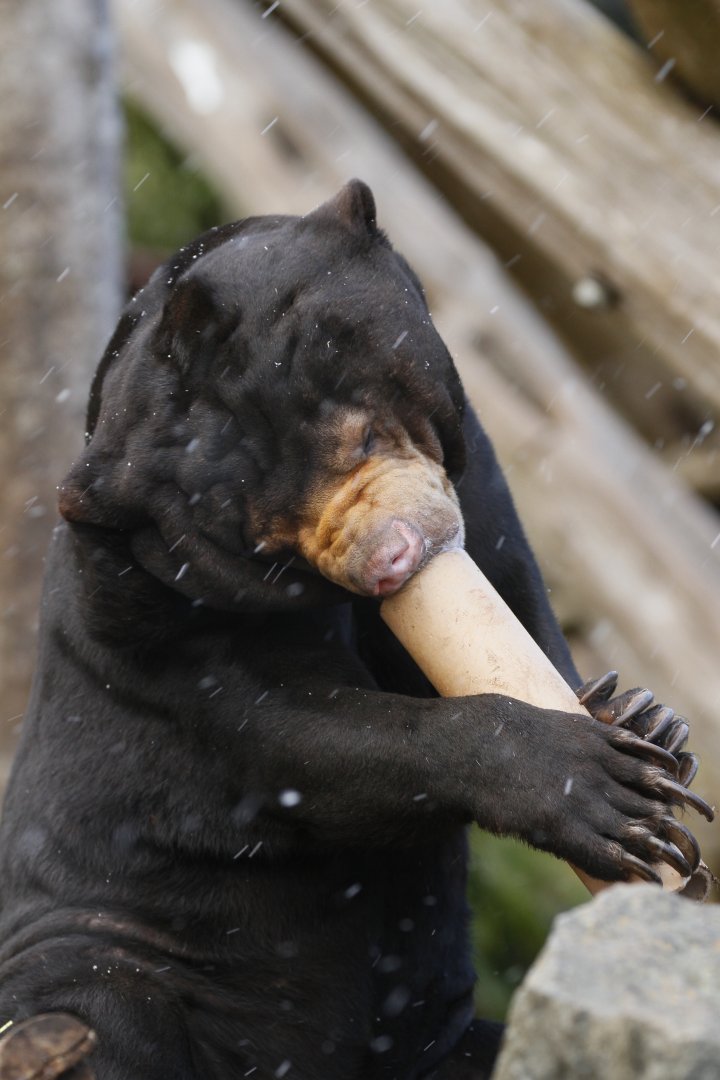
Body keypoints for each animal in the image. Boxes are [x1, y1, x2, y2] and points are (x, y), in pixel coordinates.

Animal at [0, 180, 709, 1080]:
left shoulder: (476, 470)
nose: (391, 563)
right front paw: (597, 787)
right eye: (268, 544)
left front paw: (647, 724)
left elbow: (507, 594)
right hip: (102, 943)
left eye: (366, 432)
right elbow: (305, 740)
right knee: (103, 1004)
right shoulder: (153, 629)